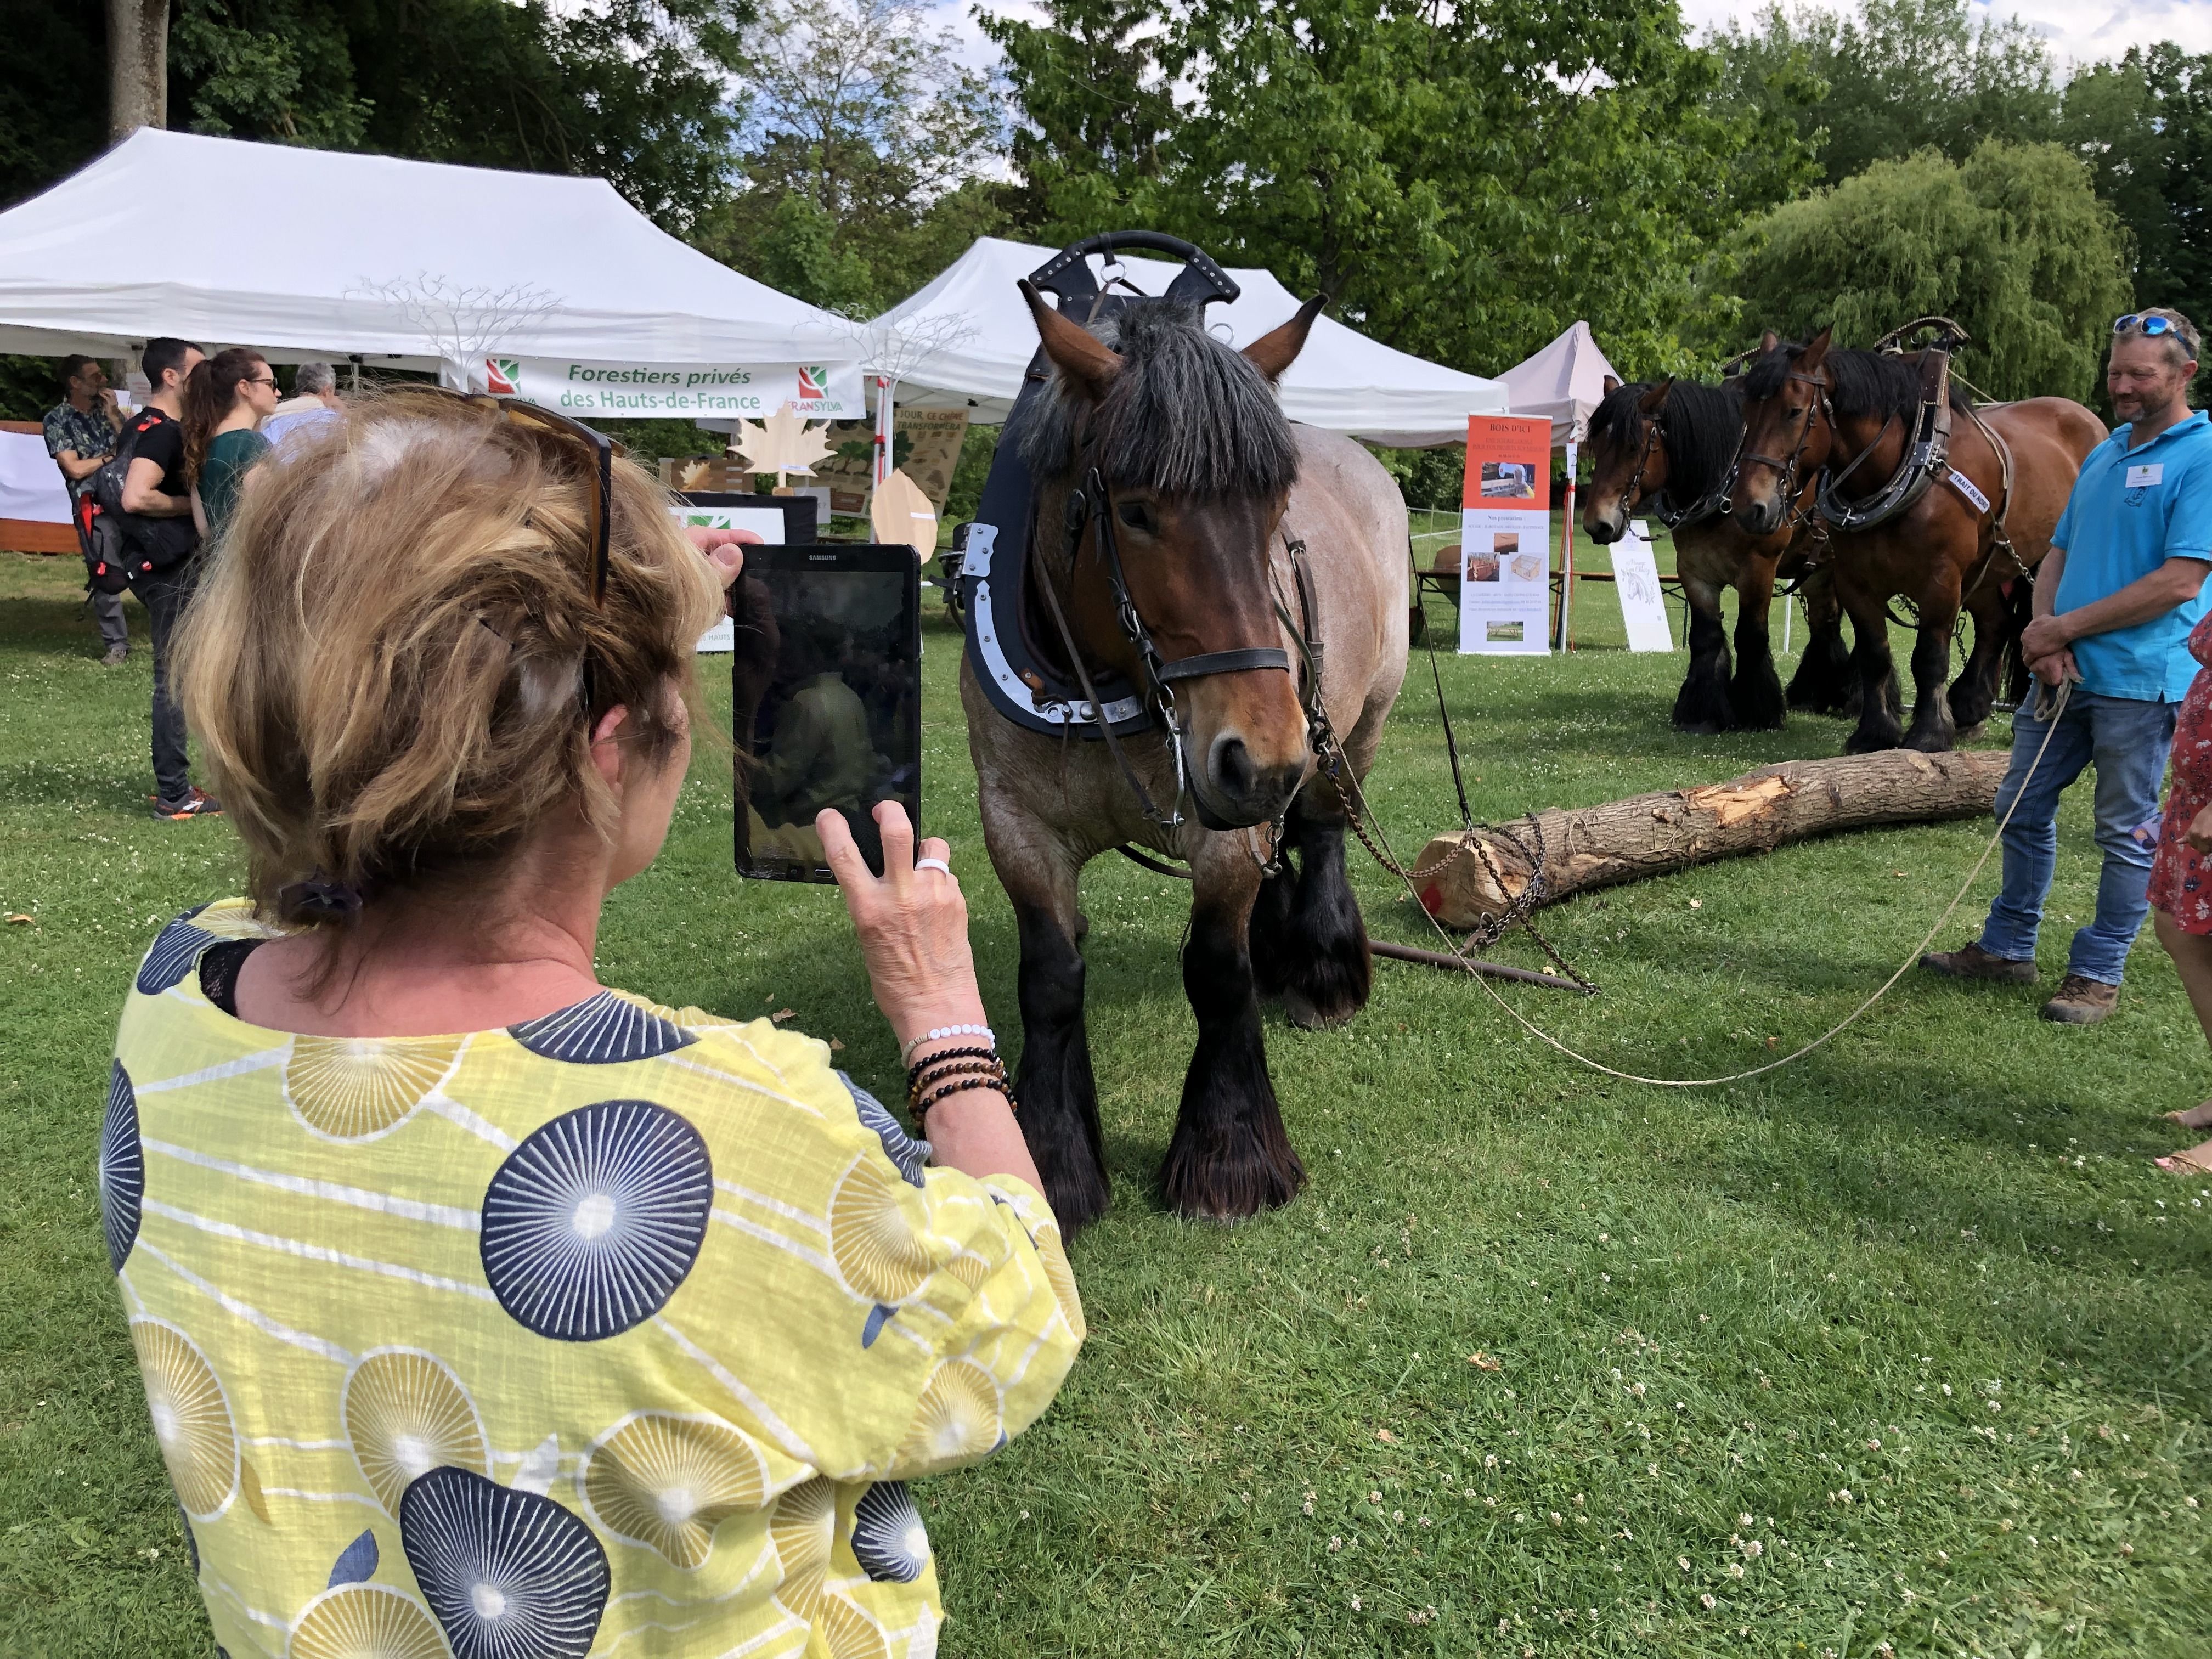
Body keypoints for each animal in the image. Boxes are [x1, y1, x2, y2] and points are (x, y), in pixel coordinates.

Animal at [960, 259, 1407, 1229]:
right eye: (1135, 512)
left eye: (1274, 510)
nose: (1263, 755)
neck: (1104, 678)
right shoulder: (1014, 822)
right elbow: (1051, 976)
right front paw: (1053, 1159)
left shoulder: (1228, 820)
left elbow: (1216, 970)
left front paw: (1228, 1154)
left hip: (1350, 730)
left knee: (1322, 829)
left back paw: (1318, 968)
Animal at [1583, 382, 1858, 734]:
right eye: (1596, 445)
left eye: (1633, 447)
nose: (1597, 524)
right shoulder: (1693, 571)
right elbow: (1705, 637)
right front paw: (1703, 712)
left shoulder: (1758, 569)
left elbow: (1750, 635)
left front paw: (1758, 711)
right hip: (1819, 573)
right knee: (1826, 625)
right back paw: (1816, 695)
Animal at [1725, 327, 2106, 756]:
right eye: (1745, 411)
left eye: (1793, 411)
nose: (1750, 507)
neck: (1905, 467)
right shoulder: (1855, 581)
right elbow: (1875, 655)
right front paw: (1875, 732)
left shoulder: (1941, 580)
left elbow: (1930, 657)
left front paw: (1928, 734)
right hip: (1986, 567)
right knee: (1996, 623)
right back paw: (1969, 707)